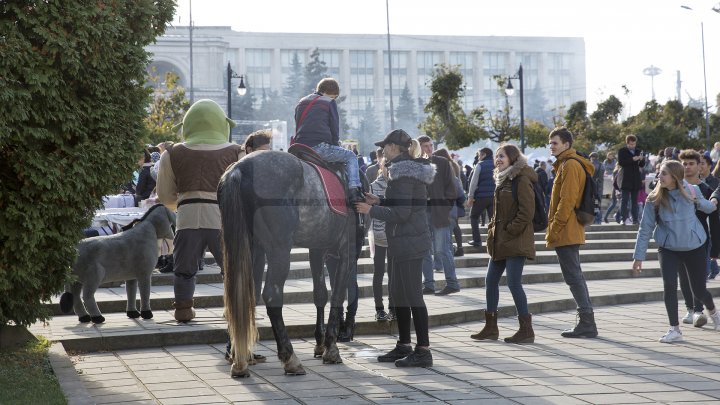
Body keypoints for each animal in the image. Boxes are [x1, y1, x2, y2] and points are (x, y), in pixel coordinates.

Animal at [218, 150, 366, 378]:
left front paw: (320, 343)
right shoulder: (347, 250)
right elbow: (338, 295)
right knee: (271, 294)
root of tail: (239, 168)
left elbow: (320, 293)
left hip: (248, 246)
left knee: (243, 291)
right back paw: (290, 358)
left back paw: (239, 358)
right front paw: (331, 348)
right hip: (279, 249)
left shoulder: (317, 249)